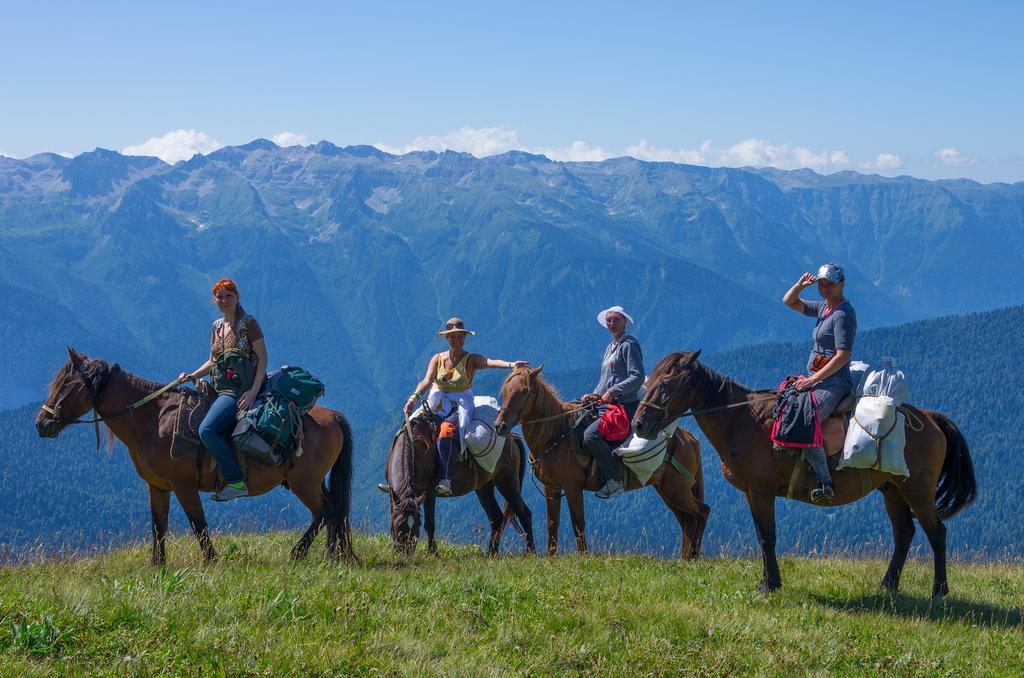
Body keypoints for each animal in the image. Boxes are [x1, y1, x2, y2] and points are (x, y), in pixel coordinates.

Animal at [37, 348, 356, 565]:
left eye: (66, 386)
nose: (42, 423)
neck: (152, 420)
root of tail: (334, 416)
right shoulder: (157, 486)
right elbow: (158, 525)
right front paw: (157, 565)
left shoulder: (183, 485)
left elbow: (197, 522)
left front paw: (211, 560)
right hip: (311, 481)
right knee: (333, 510)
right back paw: (333, 554)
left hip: (304, 483)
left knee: (325, 512)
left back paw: (303, 553)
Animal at [385, 405, 536, 557]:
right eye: (398, 526)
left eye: (416, 526)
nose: (405, 554)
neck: (416, 449)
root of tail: (512, 439)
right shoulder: (395, 493)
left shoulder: (429, 492)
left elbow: (430, 524)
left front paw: (433, 553)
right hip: (484, 487)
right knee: (496, 517)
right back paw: (491, 554)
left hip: (507, 483)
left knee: (524, 513)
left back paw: (531, 552)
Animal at [491, 368, 708, 561]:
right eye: (505, 390)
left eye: (524, 391)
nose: (500, 426)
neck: (556, 434)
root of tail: (689, 438)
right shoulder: (551, 488)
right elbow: (552, 523)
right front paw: (551, 558)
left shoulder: (573, 488)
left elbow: (578, 523)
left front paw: (583, 556)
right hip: (667, 490)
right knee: (686, 520)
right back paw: (684, 558)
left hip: (676, 489)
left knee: (701, 512)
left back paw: (694, 557)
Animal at [630, 352, 974, 598]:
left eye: (666, 385)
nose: (639, 424)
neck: (742, 420)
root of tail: (930, 419)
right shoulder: (751, 493)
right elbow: (763, 536)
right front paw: (768, 581)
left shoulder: (761, 491)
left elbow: (767, 537)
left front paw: (769, 585)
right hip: (892, 489)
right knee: (904, 533)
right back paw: (888, 585)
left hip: (917, 490)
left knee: (936, 533)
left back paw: (939, 591)